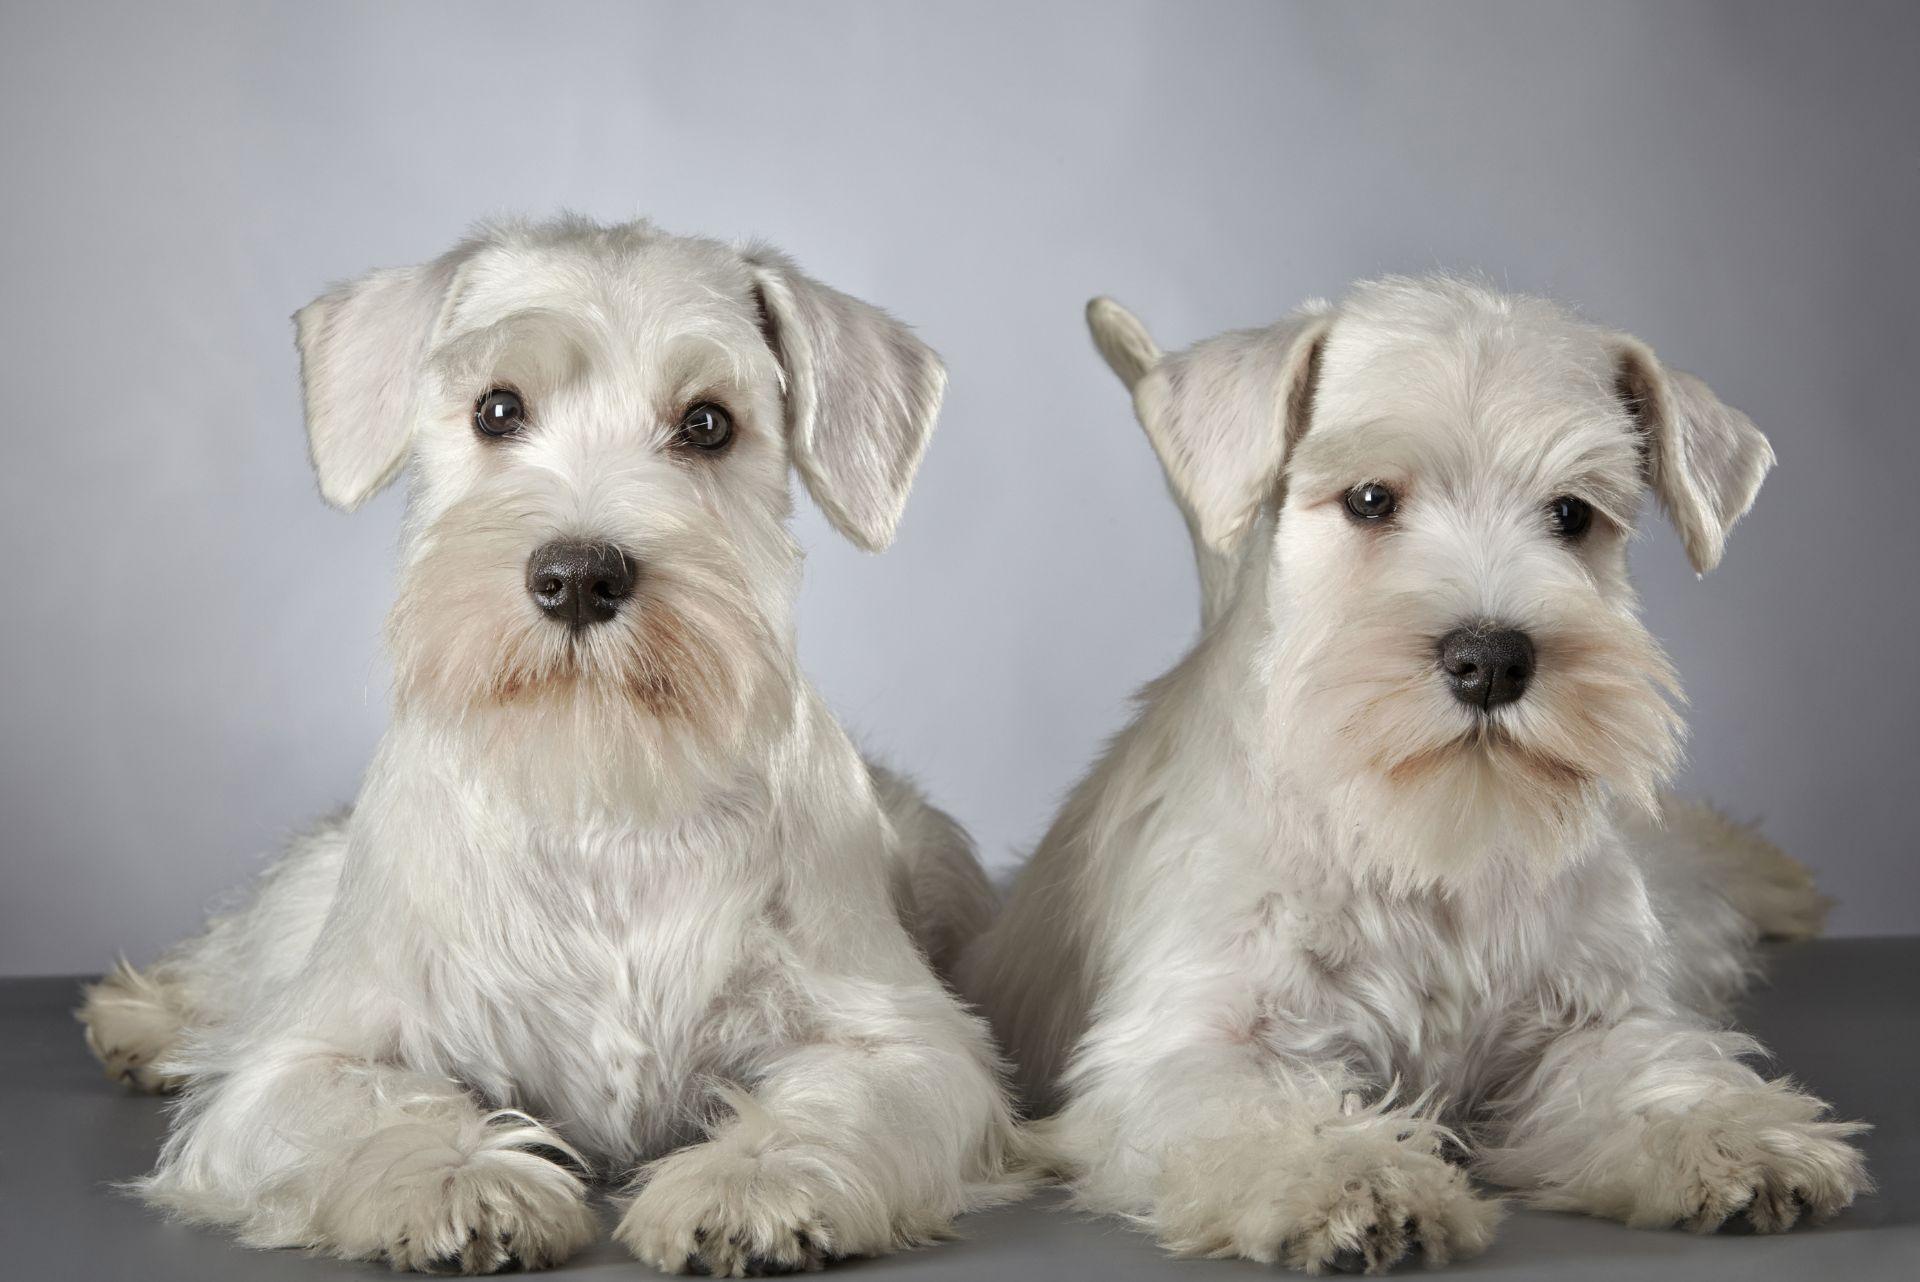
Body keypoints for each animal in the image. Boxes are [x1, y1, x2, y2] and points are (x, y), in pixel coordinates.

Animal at [78, 213, 1021, 1274]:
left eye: (707, 423)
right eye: (497, 409)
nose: (578, 576)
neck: (600, 803)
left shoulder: (907, 1046)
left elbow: (837, 1107)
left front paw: (750, 1183)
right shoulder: (305, 1060)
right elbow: (375, 1106)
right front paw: (459, 1183)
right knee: (234, 960)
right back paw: (140, 1021)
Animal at [967, 278, 1866, 1274]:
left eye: (1572, 514)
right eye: (1368, 498)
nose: (1492, 661)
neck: (1427, 838)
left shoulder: (1589, 1018)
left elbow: (1655, 1076)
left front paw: (1739, 1137)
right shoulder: (1197, 1042)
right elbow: (1268, 1112)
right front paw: (1356, 1180)